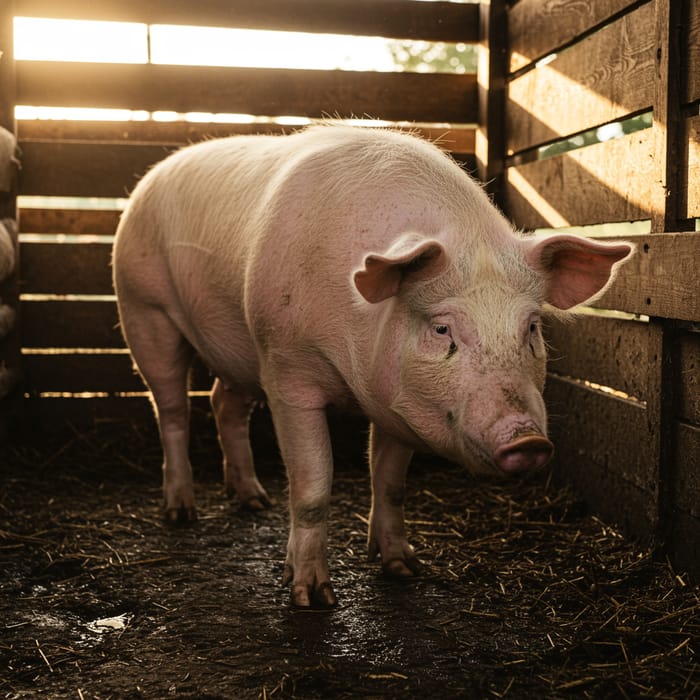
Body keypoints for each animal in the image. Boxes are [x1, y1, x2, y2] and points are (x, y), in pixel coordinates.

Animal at [110, 126, 636, 608]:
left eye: (531, 328)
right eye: (441, 329)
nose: (528, 441)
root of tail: (150, 177)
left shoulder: (399, 401)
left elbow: (390, 482)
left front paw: (403, 568)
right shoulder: (286, 369)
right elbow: (313, 485)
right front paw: (312, 597)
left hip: (240, 349)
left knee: (224, 402)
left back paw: (254, 500)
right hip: (143, 308)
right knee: (172, 409)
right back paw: (181, 512)